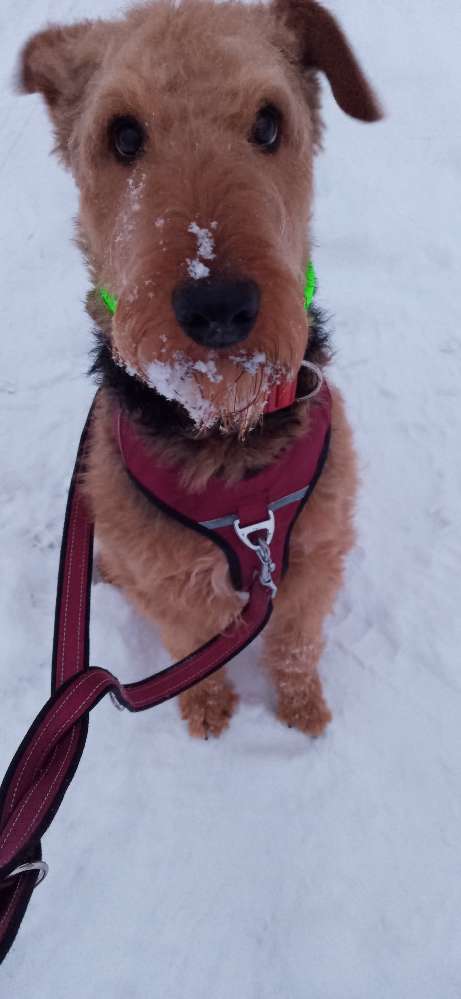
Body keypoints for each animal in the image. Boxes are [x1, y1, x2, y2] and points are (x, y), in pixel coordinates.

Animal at [19, 0, 381, 739]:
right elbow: (193, 648)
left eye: (268, 122)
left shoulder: (312, 558)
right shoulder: (170, 576)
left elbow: (295, 644)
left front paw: (303, 709)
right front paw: (208, 708)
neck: (225, 442)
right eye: (123, 134)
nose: (218, 310)